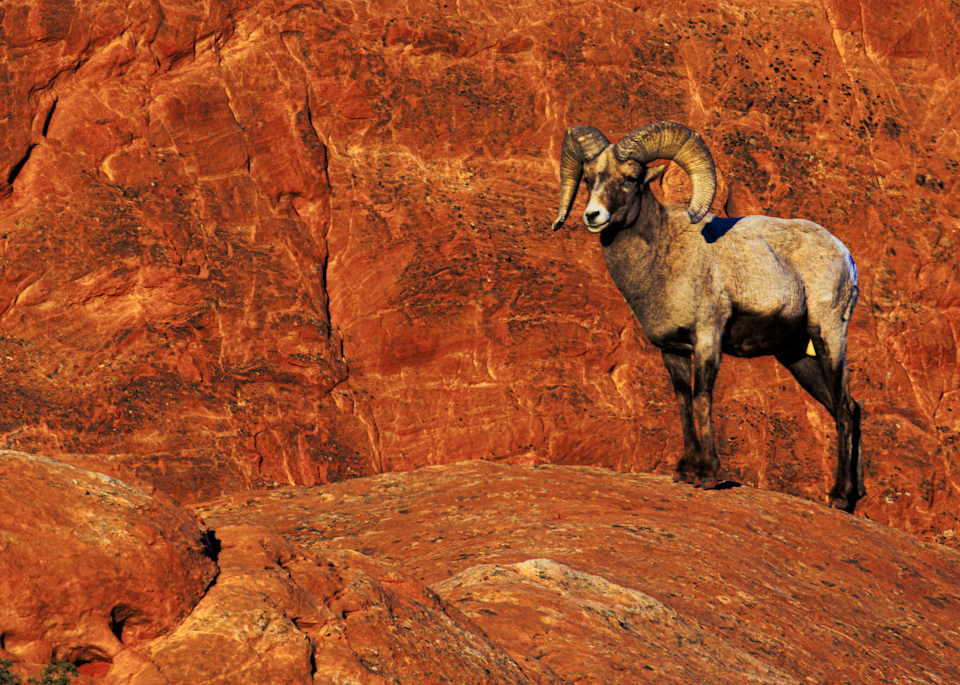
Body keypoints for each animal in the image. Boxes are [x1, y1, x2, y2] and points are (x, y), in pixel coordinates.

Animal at [551, 121, 863, 510]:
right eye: (590, 178)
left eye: (631, 178)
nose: (593, 216)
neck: (663, 259)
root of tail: (845, 255)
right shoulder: (672, 350)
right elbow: (684, 402)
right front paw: (685, 471)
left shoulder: (707, 338)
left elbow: (702, 398)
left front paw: (709, 476)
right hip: (795, 356)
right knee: (844, 406)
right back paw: (854, 496)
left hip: (828, 335)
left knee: (845, 407)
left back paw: (839, 497)